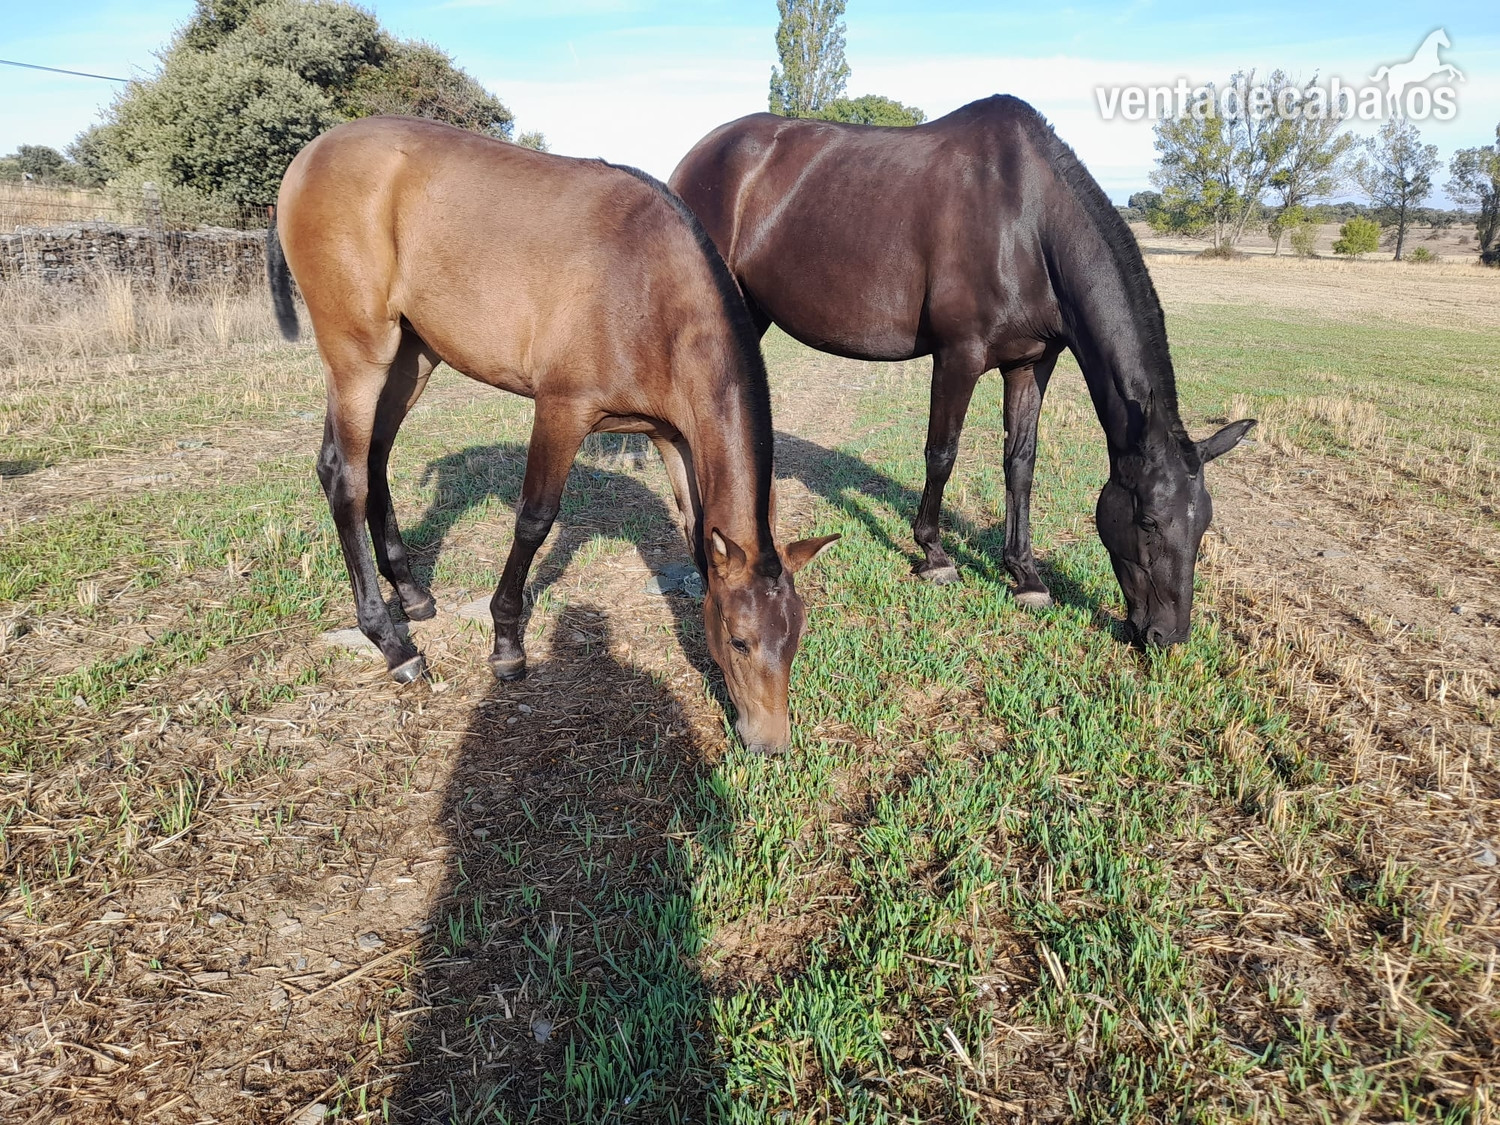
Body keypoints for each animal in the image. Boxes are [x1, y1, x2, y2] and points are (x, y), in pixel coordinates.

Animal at [269, 116, 837, 751]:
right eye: (740, 640)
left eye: (796, 636)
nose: (769, 743)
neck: (650, 289)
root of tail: (309, 157)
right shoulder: (562, 411)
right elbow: (534, 520)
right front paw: (506, 644)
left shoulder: (672, 437)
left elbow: (695, 531)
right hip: (359, 356)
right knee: (347, 478)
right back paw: (393, 644)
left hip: (412, 356)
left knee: (369, 462)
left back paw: (412, 596)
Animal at [669, 95, 1254, 647]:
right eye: (1149, 520)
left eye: (1203, 522)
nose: (1167, 635)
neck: (1027, 223)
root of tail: (698, 154)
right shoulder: (959, 357)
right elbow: (941, 454)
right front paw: (934, 555)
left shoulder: (1030, 363)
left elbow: (1020, 463)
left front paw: (1025, 575)